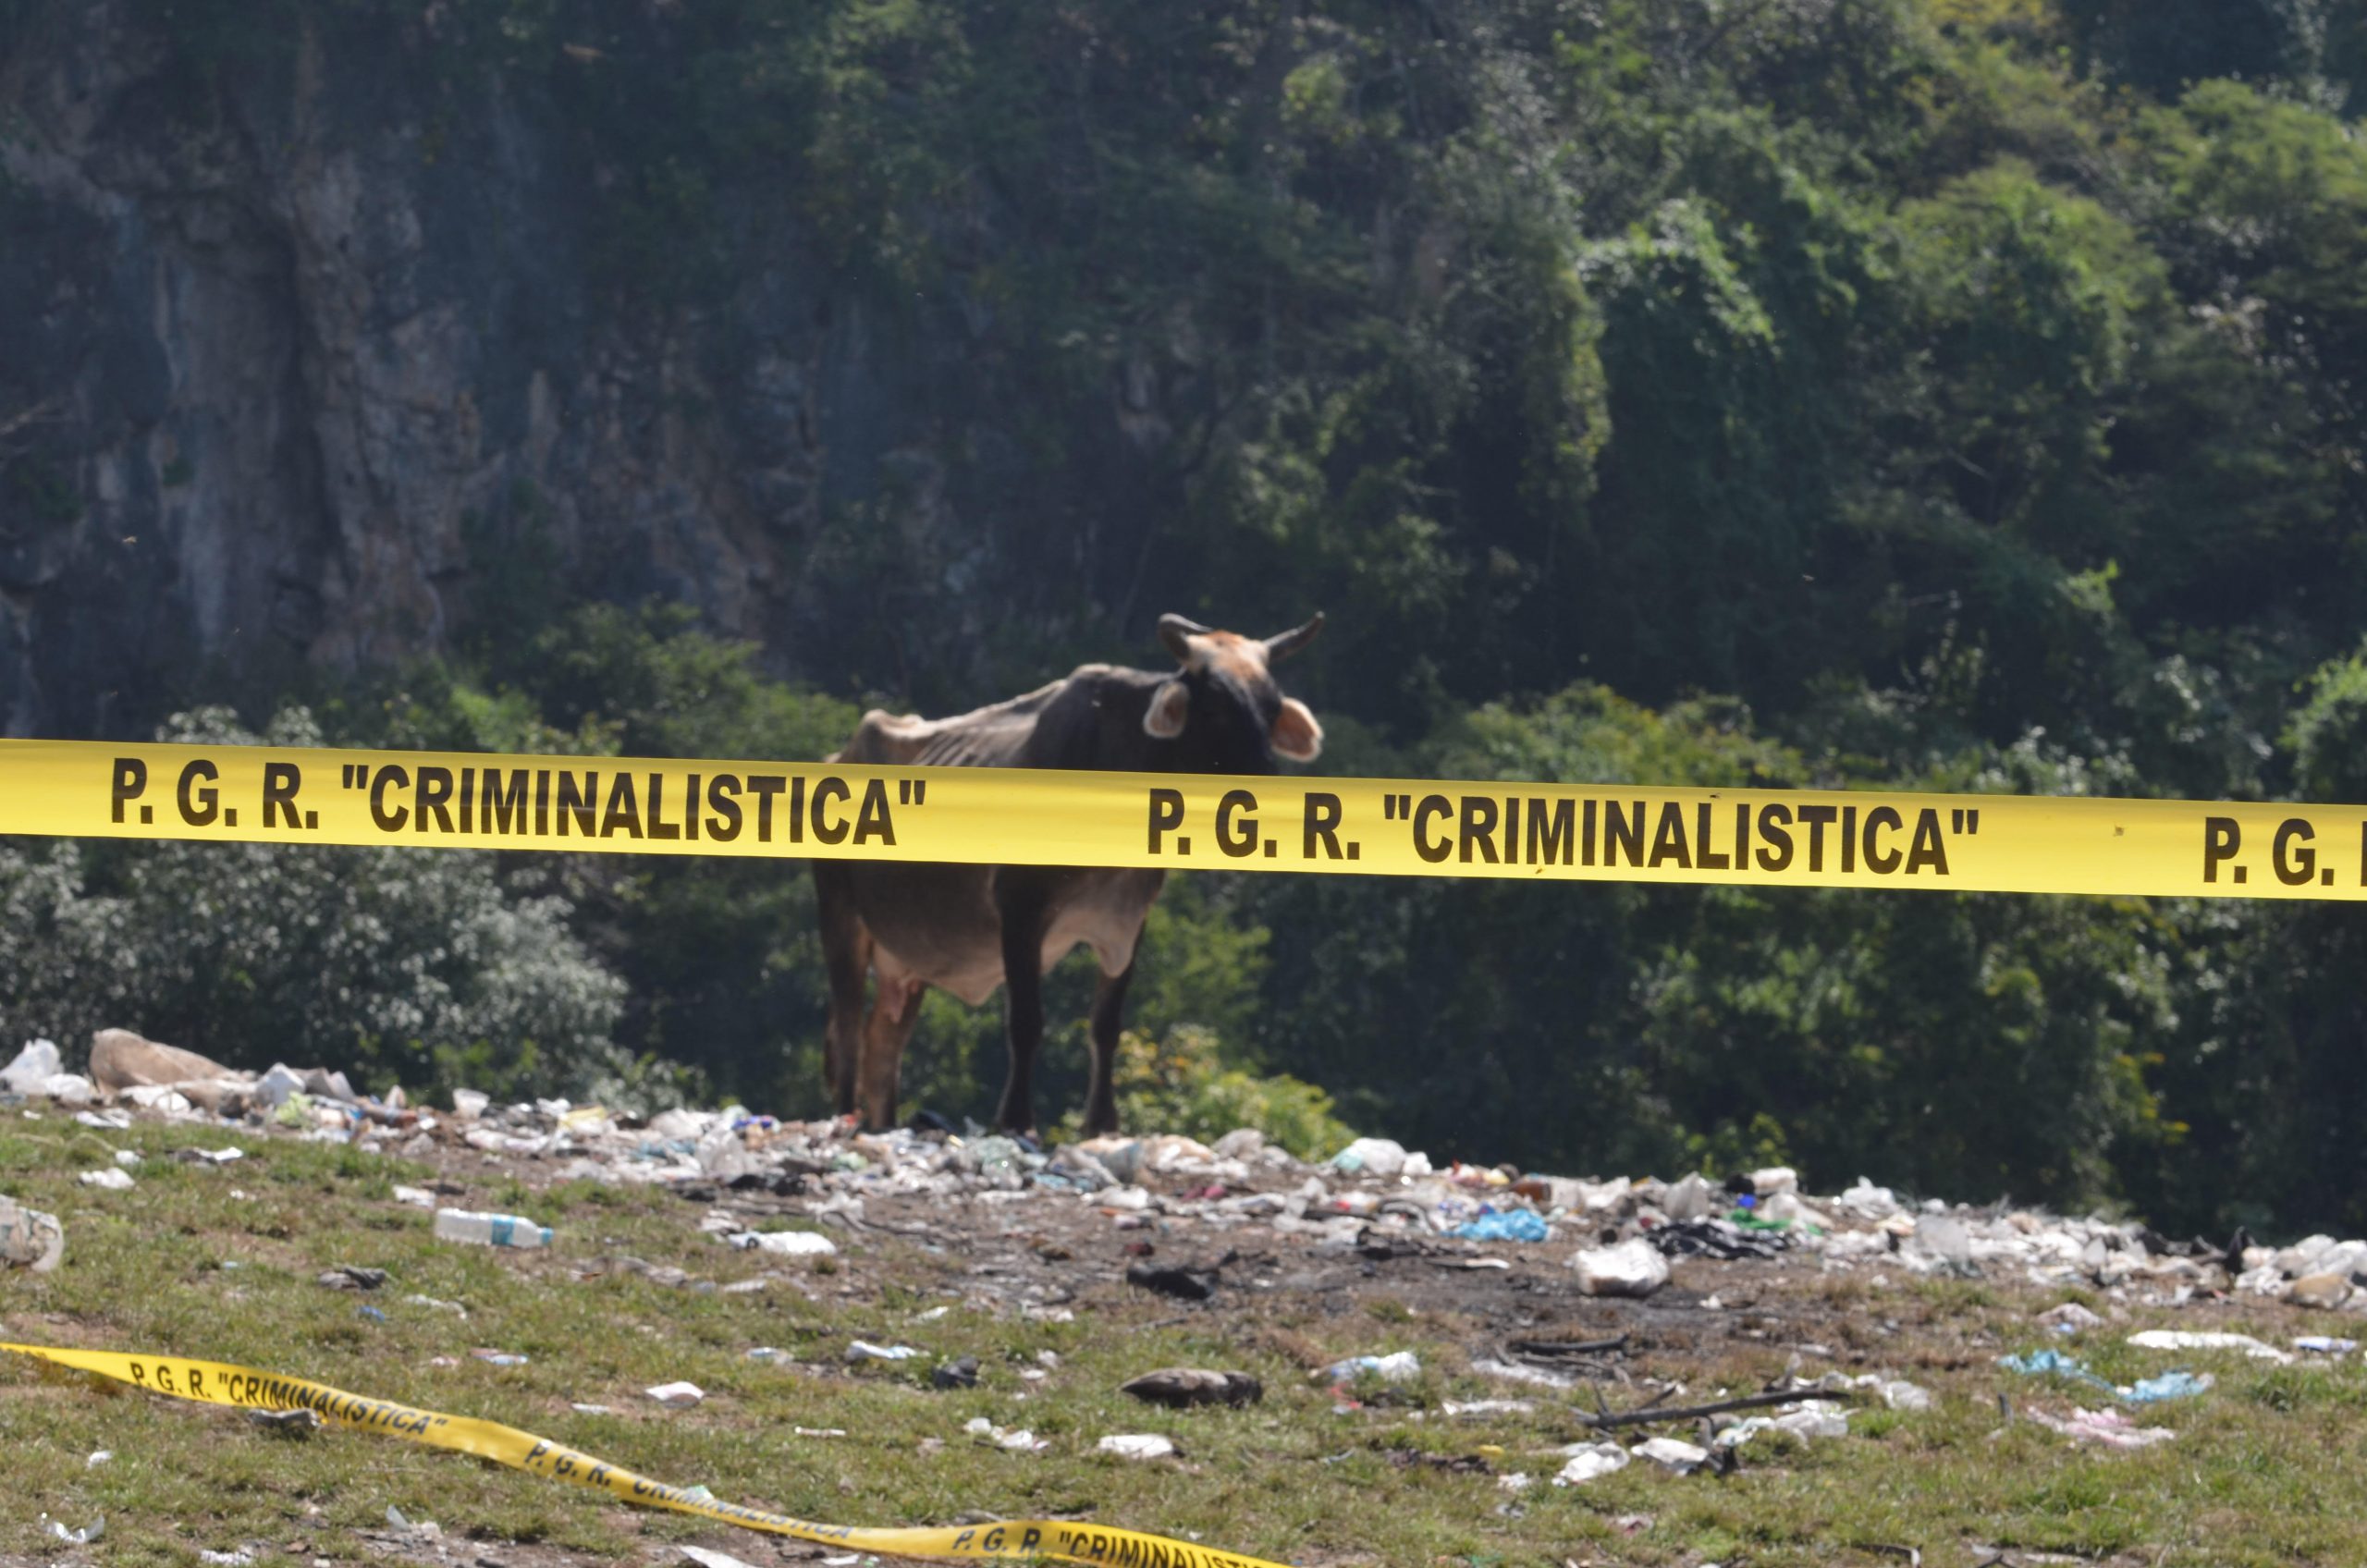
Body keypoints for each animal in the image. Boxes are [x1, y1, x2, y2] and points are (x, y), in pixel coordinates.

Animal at [823, 606, 1325, 1136]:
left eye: (1271, 708)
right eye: (1213, 706)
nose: (1267, 786)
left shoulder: (1126, 922)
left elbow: (1106, 1025)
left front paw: (1101, 1121)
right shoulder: (1020, 911)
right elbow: (1026, 1022)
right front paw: (1016, 1118)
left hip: (908, 965)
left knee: (883, 1048)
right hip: (842, 920)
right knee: (849, 1028)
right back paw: (843, 1117)